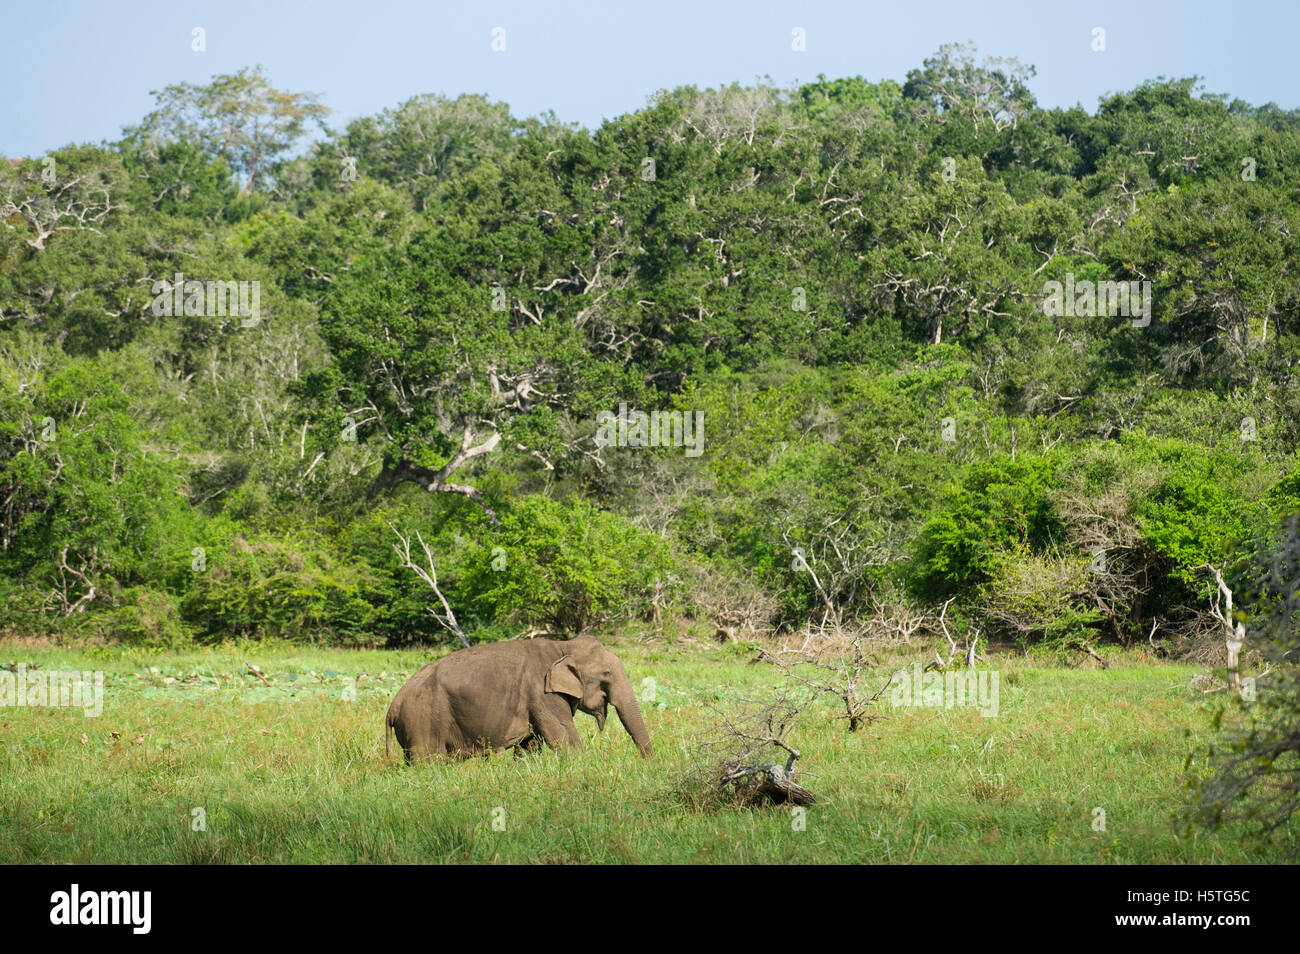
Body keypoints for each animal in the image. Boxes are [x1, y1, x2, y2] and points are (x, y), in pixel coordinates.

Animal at [385, 635, 653, 762]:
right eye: (607, 674)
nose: (649, 762)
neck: (563, 646)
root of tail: (392, 706)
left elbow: (530, 745)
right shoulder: (542, 694)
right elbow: (563, 738)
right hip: (422, 721)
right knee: (427, 760)